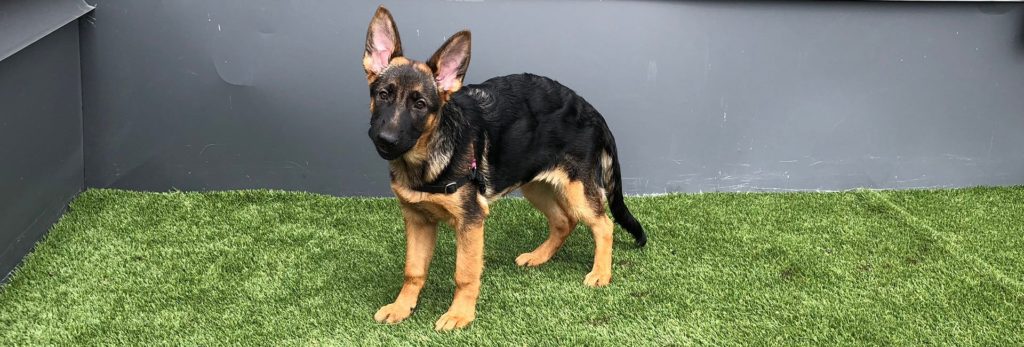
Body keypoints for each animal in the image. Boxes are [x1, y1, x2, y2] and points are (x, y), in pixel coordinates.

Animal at [362, 6, 647, 331]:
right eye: (383, 94)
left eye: (420, 104)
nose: (385, 140)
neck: (426, 158)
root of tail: (591, 110)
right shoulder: (417, 220)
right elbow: (413, 270)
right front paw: (402, 307)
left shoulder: (471, 221)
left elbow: (465, 273)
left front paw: (460, 314)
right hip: (535, 185)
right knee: (564, 221)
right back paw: (539, 256)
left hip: (577, 191)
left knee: (603, 225)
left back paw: (601, 273)